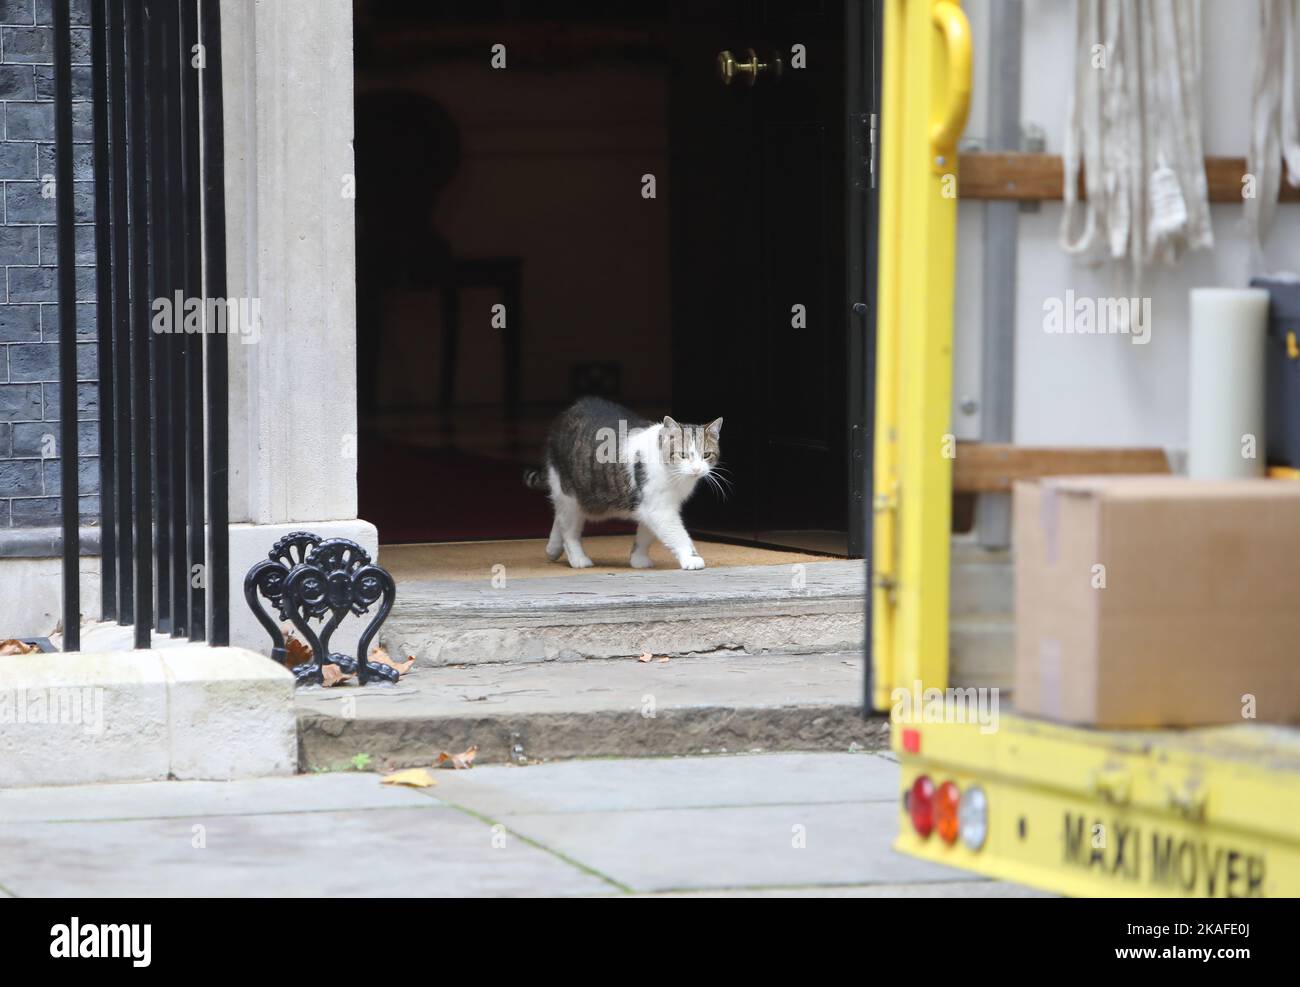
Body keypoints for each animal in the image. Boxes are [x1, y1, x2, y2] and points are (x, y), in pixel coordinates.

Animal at [527, 397, 733, 572]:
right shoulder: (659, 508)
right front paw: (691, 558)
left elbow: (645, 534)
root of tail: (569, 411)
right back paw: (578, 559)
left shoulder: (650, 506)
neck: (675, 476)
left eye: (706, 455)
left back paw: (552, 548)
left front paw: (638, 559)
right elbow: (678, 534)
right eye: (682, 455)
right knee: (569, 528)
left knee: (560, 516)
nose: (697, 469)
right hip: (569, 490)